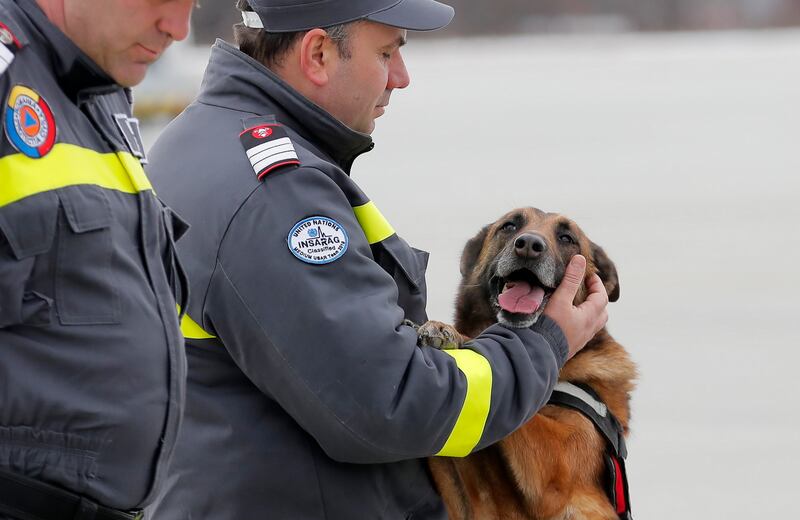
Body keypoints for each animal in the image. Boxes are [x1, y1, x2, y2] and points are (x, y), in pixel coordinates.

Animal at [418, 208, 636, 520]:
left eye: (567, 238)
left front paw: (454, 334)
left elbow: (525, 418)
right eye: (509, 226)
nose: (529, 246)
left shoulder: (558, 461)